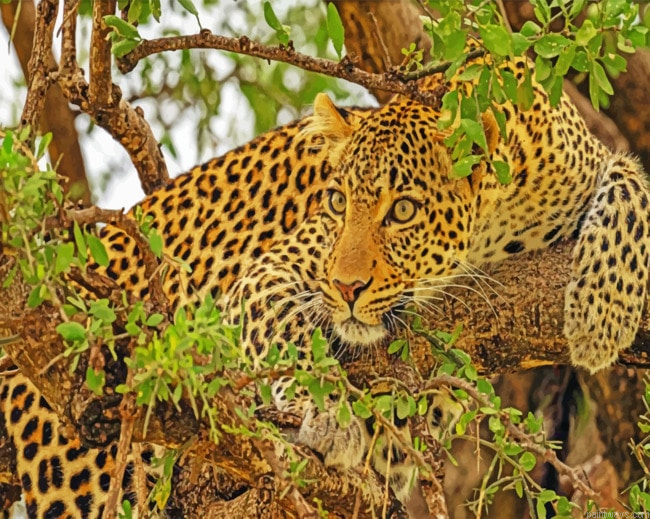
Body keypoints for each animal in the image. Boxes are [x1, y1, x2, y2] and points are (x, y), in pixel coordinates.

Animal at [2, 55, 649, 517]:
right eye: (338, 201)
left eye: (403, 210)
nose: (345, 287)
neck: (500, 219)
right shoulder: (268, 272)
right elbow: (291, 335)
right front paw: (328, 411)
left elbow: (631, 184)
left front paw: (600, 317)